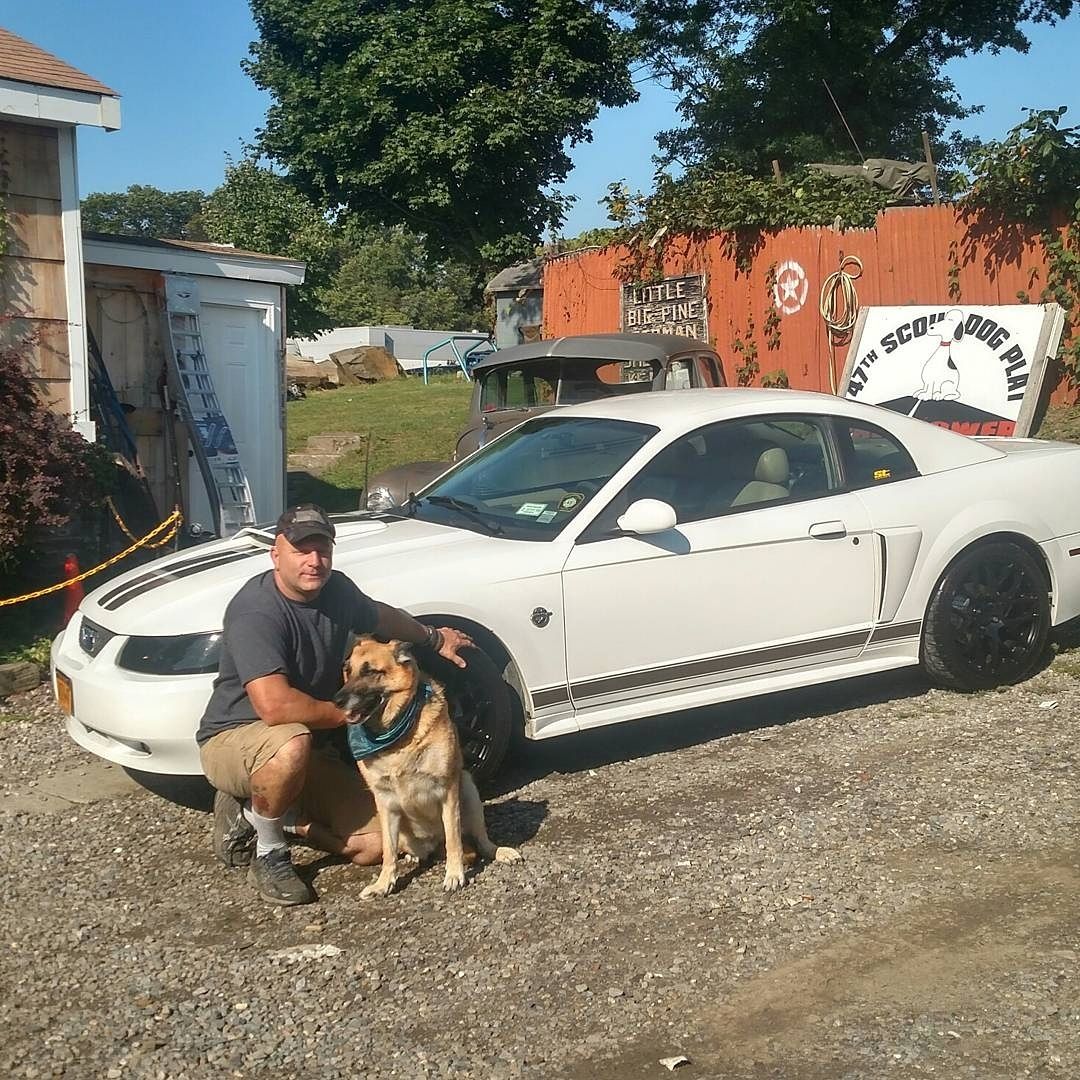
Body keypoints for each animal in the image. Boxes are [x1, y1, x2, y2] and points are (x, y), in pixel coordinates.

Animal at [334, 636, 522, 899]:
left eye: (371, 672)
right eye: (347, 671)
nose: (337, 701)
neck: (396, 738)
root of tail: (433, 842)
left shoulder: (447, 791)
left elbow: (453, 840)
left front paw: (454, 874)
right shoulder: (385, 803)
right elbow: (388, 852)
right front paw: (384, 883)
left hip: (469, 790)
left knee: (480, 841)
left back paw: (499, 852)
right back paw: (413, 857)